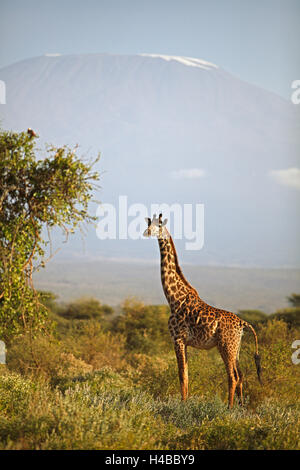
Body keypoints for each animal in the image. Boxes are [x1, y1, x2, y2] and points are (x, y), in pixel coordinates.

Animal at [143, 213, 260, 408]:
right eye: (148, 223)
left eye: (159, 225)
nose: (147, 232)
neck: (174, 299)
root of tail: (243, 323)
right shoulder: (184, 341)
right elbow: (186, 374)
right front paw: (185, 402)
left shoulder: (177, 338)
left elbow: (181, 375)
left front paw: (182, 405)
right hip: (236, 348)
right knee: (241, 375)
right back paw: (241, 408)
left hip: (225, 346)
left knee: (233, 376)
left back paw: (229, 408)